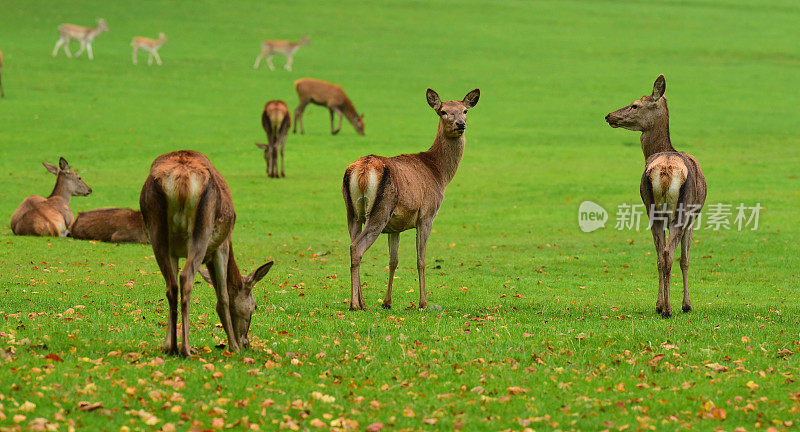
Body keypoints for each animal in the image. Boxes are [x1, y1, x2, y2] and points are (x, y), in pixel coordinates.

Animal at [139, 150, 274, 356]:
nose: (246, 343)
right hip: (203, 227)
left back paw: (173, 348)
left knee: (171, 286)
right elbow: (223, 297)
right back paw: (186, 349)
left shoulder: (175, 252)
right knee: (186, 278)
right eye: (255, 306)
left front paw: (167, 344)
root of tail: (182, 180)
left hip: (156, 232)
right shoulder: (221, 245)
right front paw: (233, 347)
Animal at [340, 88, 478, 310]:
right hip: (380, 210)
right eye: (442, 111)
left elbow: (393, 260)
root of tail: (363, 171)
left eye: (465, 110)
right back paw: (354, 304)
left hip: (352, 211)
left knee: (352, 243)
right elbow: (420, 259)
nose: (460, 124)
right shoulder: (427, 215)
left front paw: (387, 302)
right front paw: (423, 303)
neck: (439, 174)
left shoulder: (395, 226)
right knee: (357, 248)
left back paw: (362, 302)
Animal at [604, 74, 708, 318]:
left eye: (634, 105)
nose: (609, 115)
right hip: (681, 210)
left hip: (652, 209)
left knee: (661, 256)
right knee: (669, 254)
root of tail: (666, 171)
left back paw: (661, 305)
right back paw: (668, 309)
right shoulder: (692, 219)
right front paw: (687, 304)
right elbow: (685, 260)